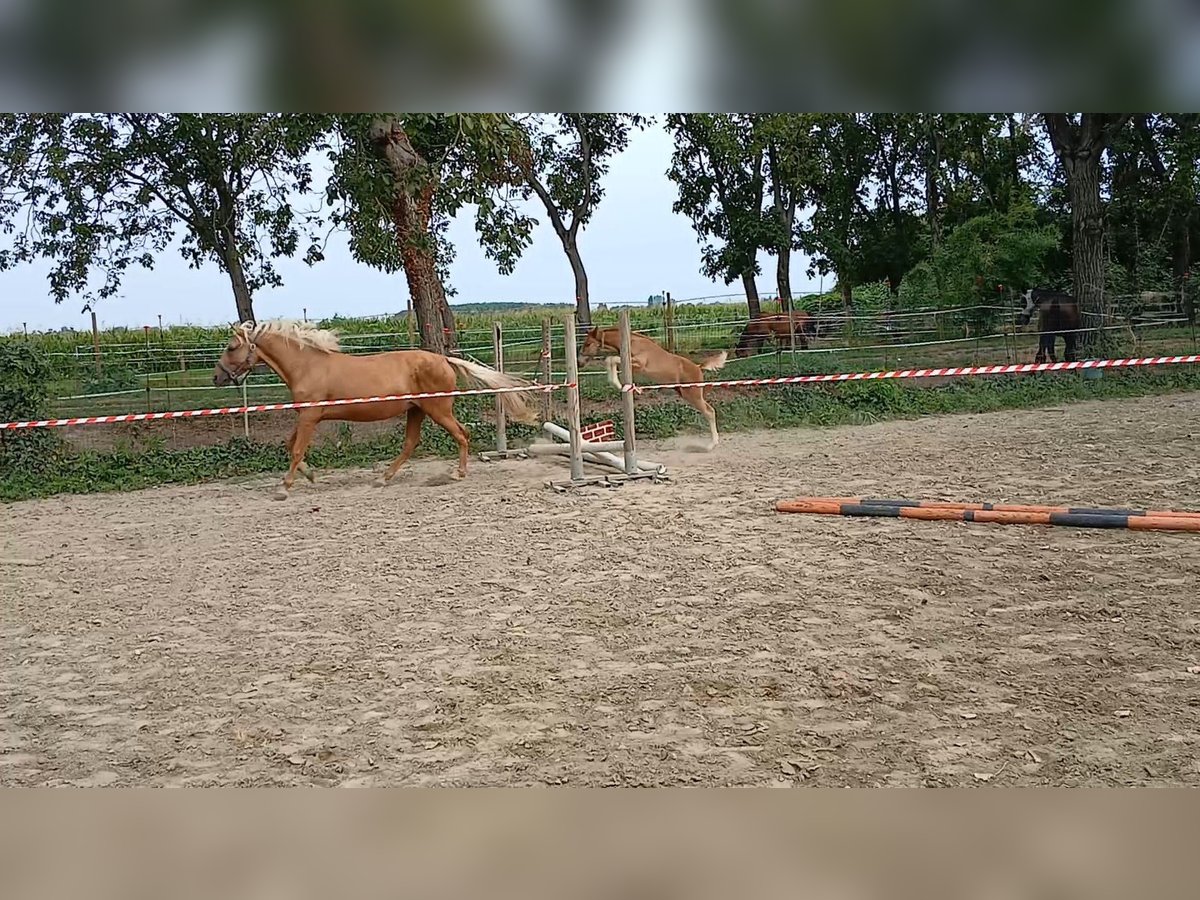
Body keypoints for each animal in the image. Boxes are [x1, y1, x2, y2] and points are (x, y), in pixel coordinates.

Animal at [213, 319, 537, 501]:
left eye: (230, 347)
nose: (216, 378)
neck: (308, 365)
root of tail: (444, 360)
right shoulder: (306, 416)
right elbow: (289, 444)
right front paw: (311, 475)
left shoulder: (309, 416)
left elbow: (295, 449)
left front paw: (284, 487)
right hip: (416, 411)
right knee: (411, 444)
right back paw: (383, 478)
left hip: (438, 410)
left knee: (461, 434)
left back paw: (456, 474)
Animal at [576, 328, 724, 451]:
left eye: (588, 344)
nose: (579, 363)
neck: (632, 342)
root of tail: (698, 367)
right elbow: (611, 361)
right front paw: (631, 388)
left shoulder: (639, 364)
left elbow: (610, 359)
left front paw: (625, 387)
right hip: (685, 393)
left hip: (693, 395)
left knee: (710, 412)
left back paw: (711, 444)